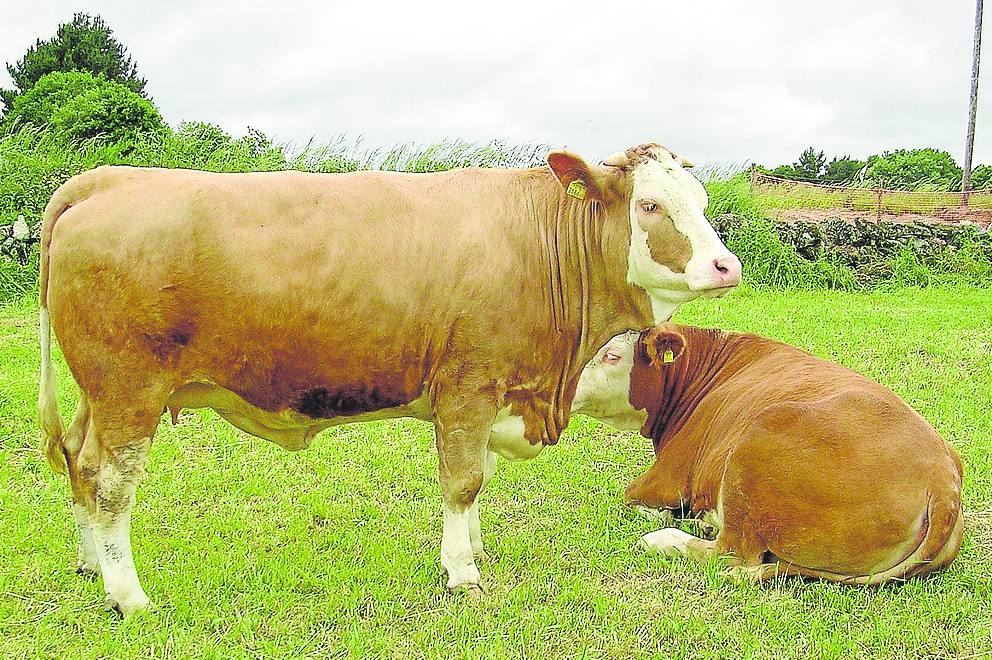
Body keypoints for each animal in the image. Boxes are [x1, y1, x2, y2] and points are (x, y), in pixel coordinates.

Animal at [38, 142, 740, 612]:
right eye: (651, 204)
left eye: (702, 202)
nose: (725, 266)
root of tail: (104, 181)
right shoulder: (469, 384)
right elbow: (463, 481)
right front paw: (462, 573)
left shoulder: (491, 394)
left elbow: (476, 483)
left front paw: (474, 550)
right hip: (129, 391)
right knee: (111, 484)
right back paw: (128, 594)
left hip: (98, 394)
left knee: (78, 461)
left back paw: (90, 567)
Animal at [568, 324, 964, 584]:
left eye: (612, 355)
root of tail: (941, 481)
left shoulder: (666, 478)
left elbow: (633, 499)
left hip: (758, 439)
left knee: (731, 553)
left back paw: (666, 538)